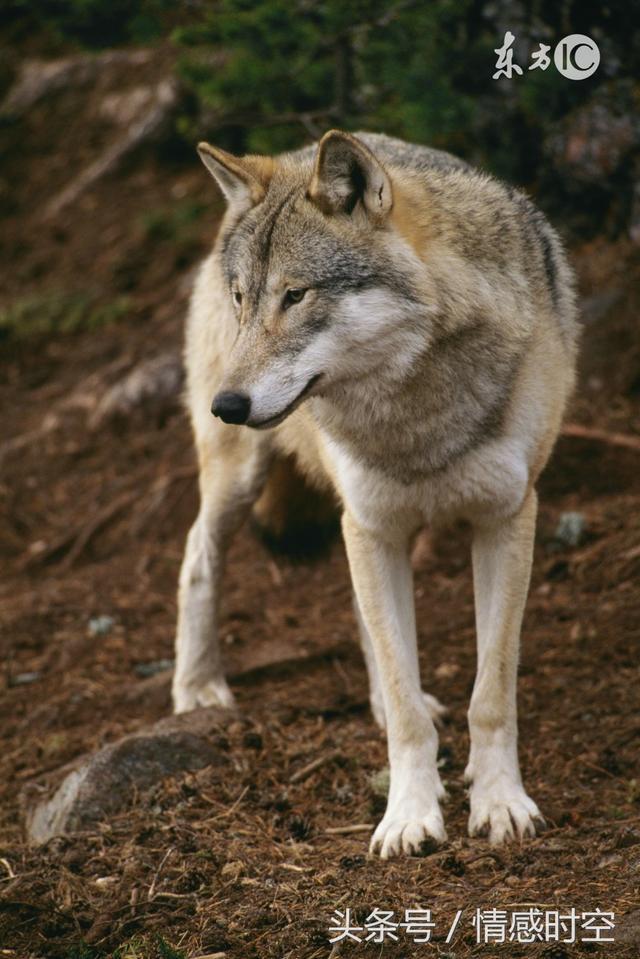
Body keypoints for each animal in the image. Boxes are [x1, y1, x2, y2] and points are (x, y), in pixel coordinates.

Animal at [171, 127, 580, 856]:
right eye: (245, 297)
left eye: (296, 295)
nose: (228, 403)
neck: (413, 412)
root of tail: (295, 148)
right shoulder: (371, 524)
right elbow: (407, 697)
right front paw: (409, 816)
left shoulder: (505, 518)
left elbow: (491, 690)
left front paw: (500, 803)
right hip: (245, 482)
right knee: (197, 555)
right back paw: (196, 686)